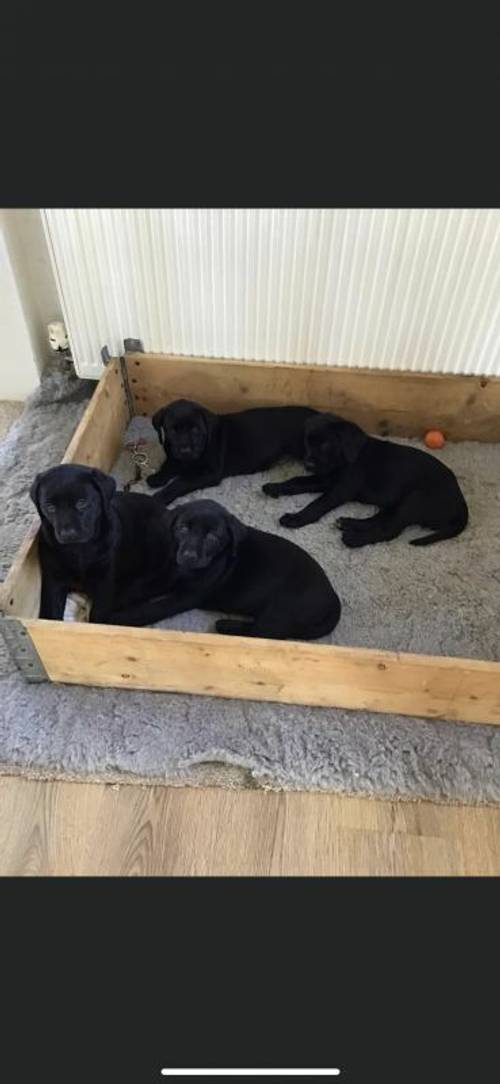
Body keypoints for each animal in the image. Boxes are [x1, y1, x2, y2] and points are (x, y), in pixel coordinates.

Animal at [31, 463, 171, 624]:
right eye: (50, 507)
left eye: (82, 503)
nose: (68, 534)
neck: (79, 548)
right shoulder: (53, 577)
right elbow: (50, 613)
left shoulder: (104, 578)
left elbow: (98, 614)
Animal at [145, 398, 316, 498]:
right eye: (172, 430)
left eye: (195, 430)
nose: (185, 451)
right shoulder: (174, 456)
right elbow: (168, 465)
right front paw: (157, 477)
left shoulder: (209, 472)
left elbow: (179, 483)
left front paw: (159, 497)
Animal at [261, 414, 468, 550]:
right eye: (307, 441)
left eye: (326, 444)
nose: (308, 464)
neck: (346, 458)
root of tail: (461, 504)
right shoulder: (325, 478)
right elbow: (297, 481)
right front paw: (275, 487)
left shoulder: (341, 489)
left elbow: (317, 504)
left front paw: (296, 518)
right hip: (397, 503)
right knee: (381, 520)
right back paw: (349, 523)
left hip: (415, 499)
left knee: (390, 530)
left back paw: (354, 539)